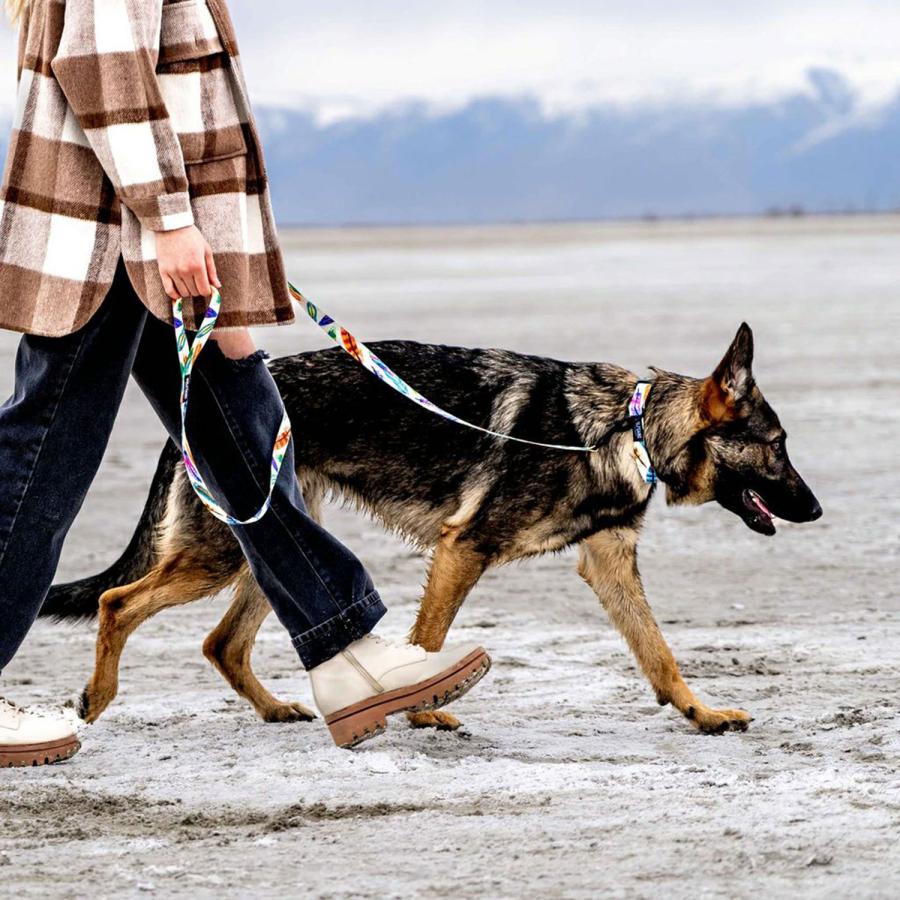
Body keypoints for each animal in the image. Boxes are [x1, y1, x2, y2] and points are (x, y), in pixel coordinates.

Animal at [44, 326, 824, 740]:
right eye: (778, 446)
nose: (817, 512)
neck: (622, 427)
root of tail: (187, 421)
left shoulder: (608, 565)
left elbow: (659, 654)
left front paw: (701, 713)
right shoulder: (463, 549)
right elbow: (429, 639)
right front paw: (422, 709)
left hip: (274, 543)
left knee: (221, 643)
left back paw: (274, 709)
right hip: (220, 554)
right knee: (118, 603)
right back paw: (97, 698)